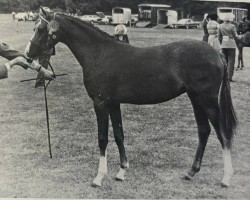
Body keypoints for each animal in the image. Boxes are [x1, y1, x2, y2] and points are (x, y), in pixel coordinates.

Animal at [25, 7, 238, 188]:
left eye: (41, 28)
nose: (28, 54)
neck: (99, 53)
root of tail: (217, 54)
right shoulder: (113, 103)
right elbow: (119, 135)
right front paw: (121, 172)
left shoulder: (100, 103)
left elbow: (102, 138)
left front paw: (99, 177)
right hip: (196, 100)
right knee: (204, 131)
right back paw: (191, 172)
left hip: (208, 101)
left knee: (222, 133)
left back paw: (226, 178)